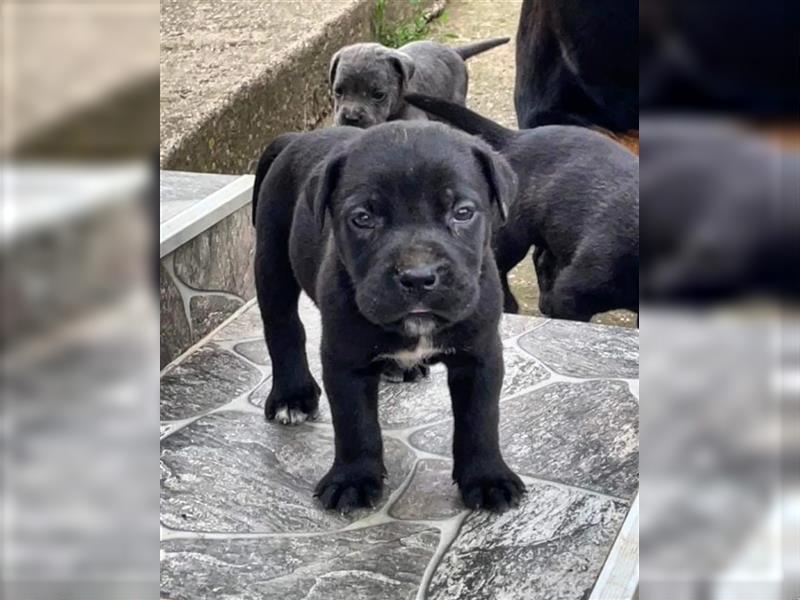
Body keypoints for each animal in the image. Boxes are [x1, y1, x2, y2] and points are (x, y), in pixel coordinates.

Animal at [252, 120, 524, 510]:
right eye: (363, 219)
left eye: (462, 212)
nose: (418, 276)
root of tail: (298, 138)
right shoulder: (345, 358)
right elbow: (355, 423)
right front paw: (353, 479)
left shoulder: (480, 354)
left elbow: (480, 419)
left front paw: (487, 478)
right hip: (271, 260)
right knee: (283, 328)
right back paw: (292, 396)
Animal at [406, 94, 636, 322]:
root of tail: (517, 137)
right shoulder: (575, 291)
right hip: (512, 236)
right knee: (500, 264)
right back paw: (510, 305)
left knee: (542, 258)